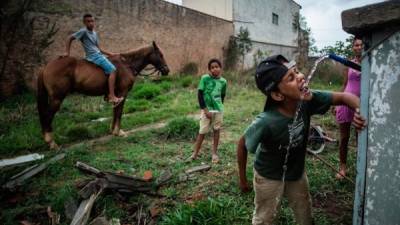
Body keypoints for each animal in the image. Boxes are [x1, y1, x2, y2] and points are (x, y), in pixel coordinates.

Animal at [36, 41, 170, 149]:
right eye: (161, 55)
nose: (167, 70)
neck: (127, 65)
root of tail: (46, 67)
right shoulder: (122, 93)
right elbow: (119, 112)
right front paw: (118, 132)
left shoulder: (117, 95)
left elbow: (115, 111)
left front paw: (113, 131)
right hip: (56, 99)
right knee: (47, 116)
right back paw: (51, 142)